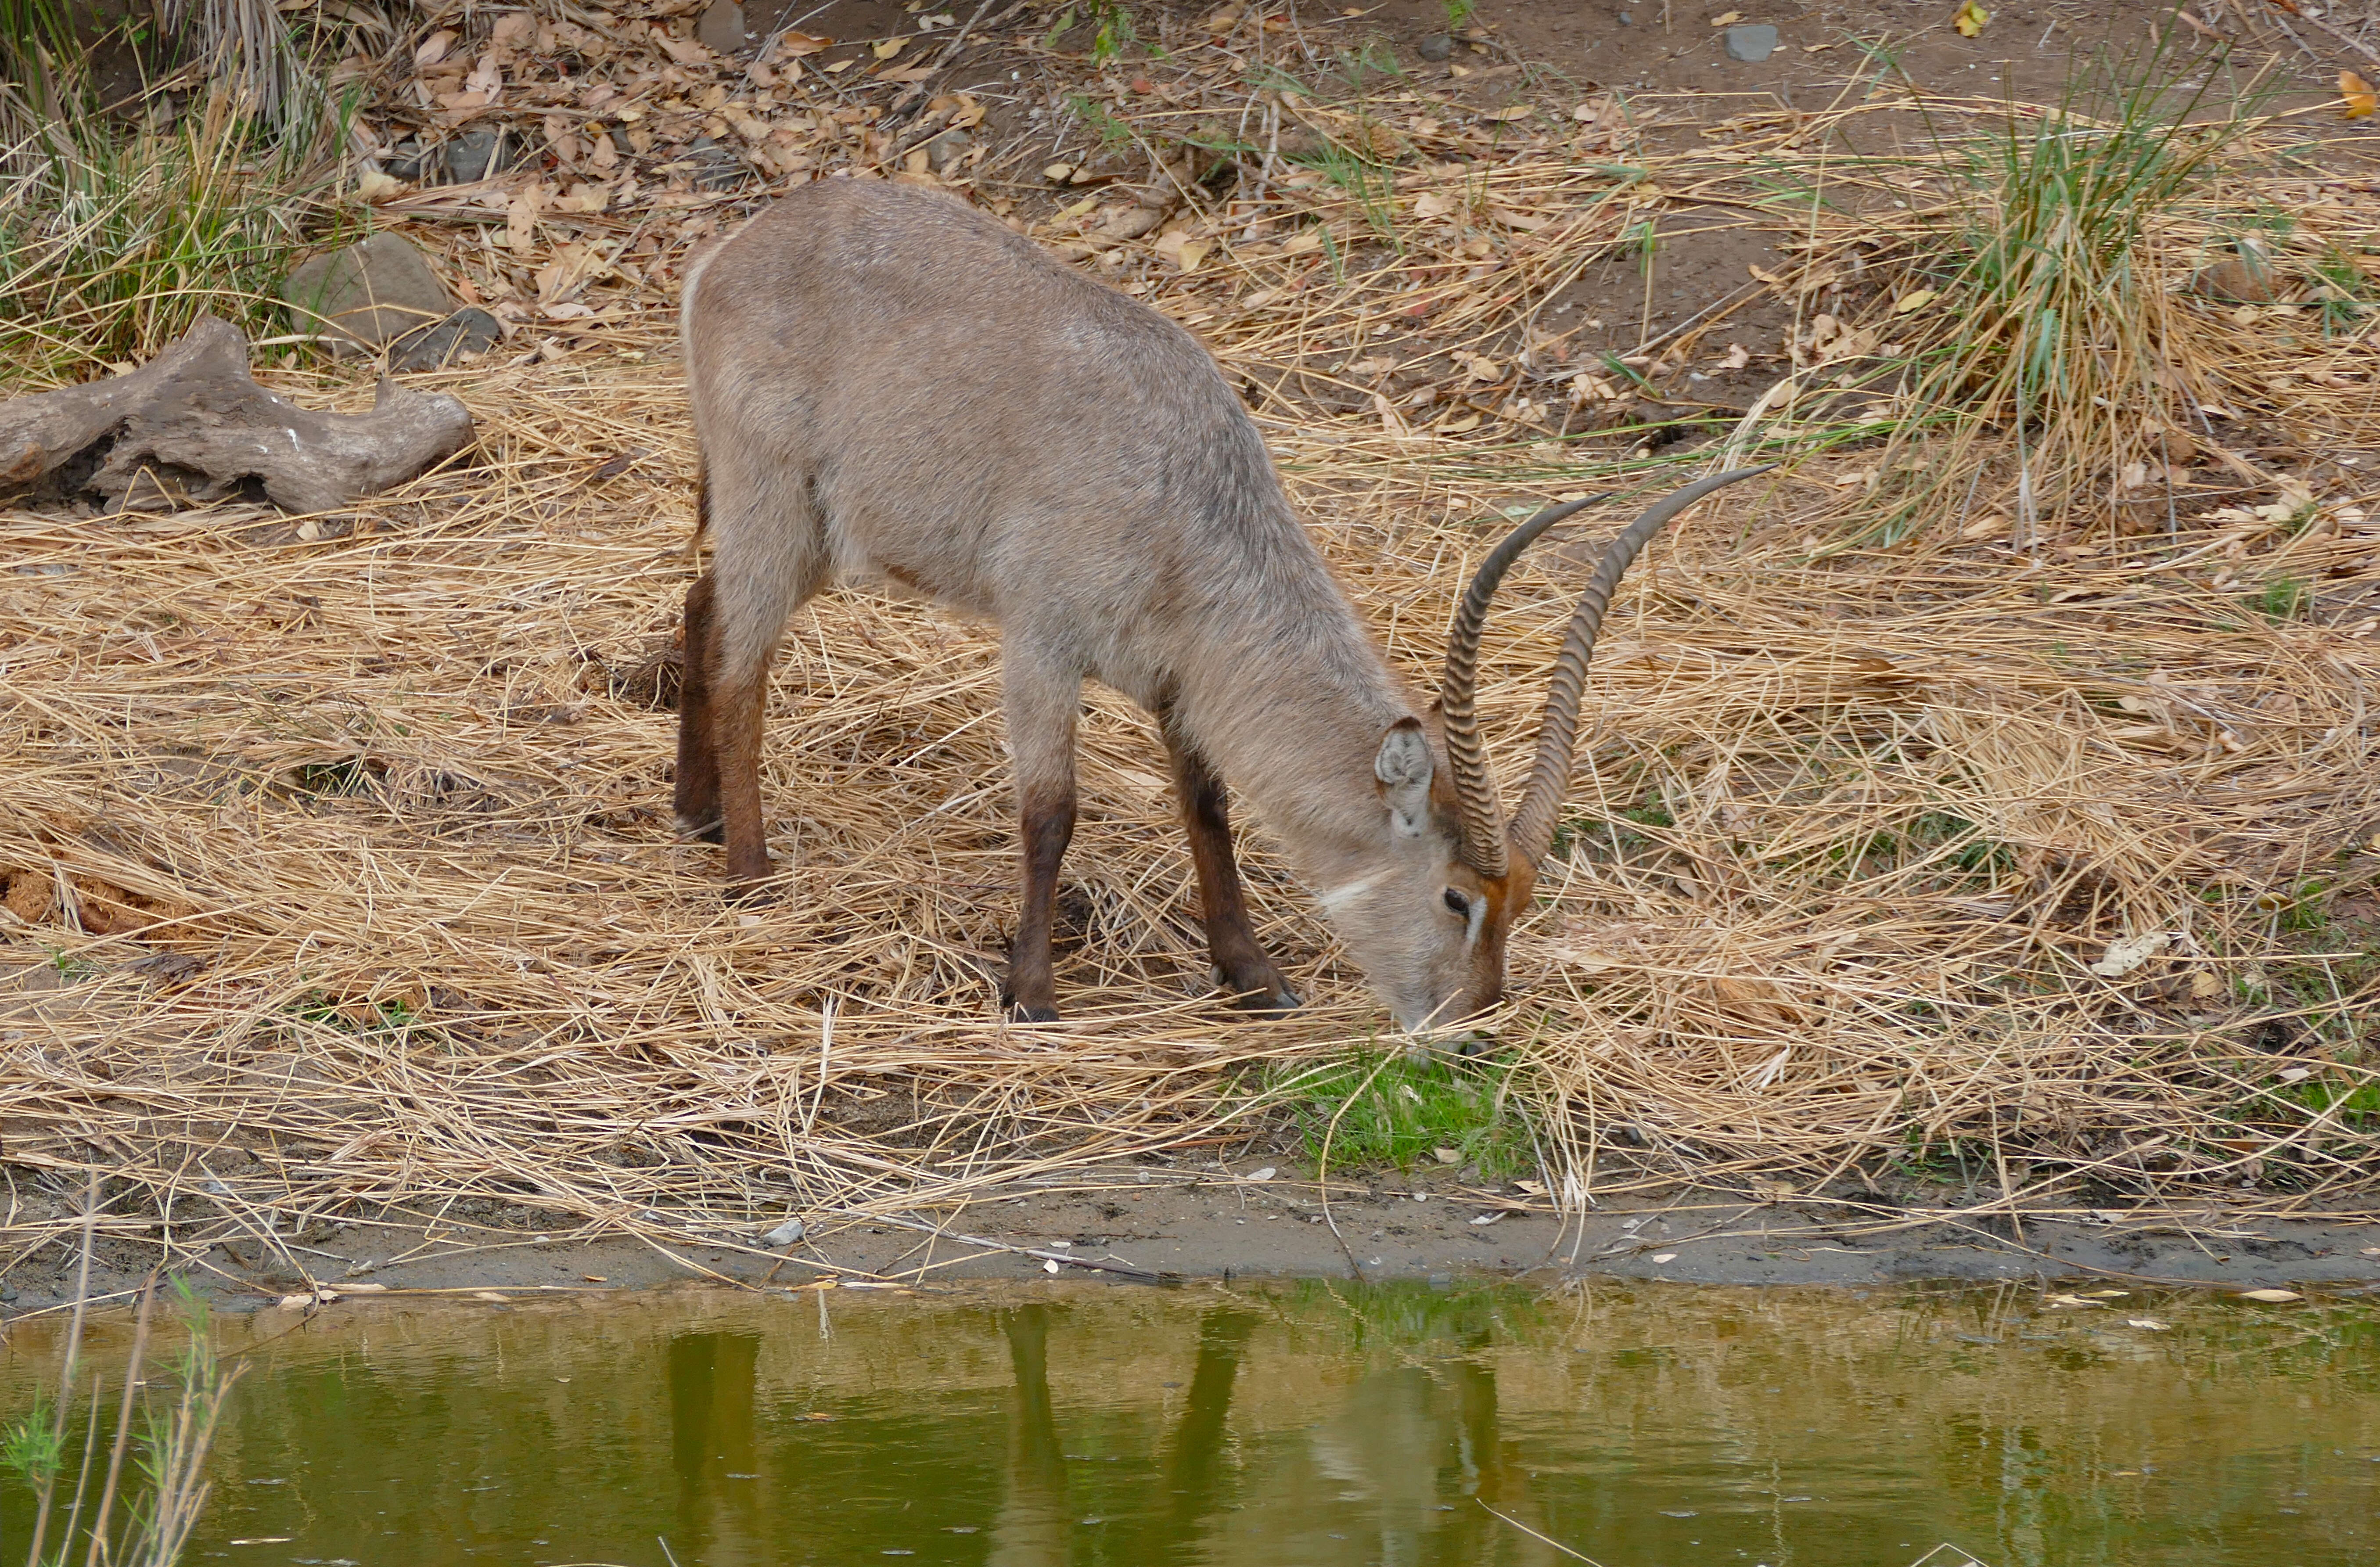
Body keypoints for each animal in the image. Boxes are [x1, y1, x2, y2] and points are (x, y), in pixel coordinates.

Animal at [671, 177, 1770, 1043]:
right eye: (1457, 895)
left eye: (1522, 903)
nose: (1472, 1026)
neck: (1182, 488)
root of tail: (737, 245)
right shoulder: (1041, 643)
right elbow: (1049, 814)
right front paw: (1031, 994)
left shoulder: (1177, 678)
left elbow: (1209, 809)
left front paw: (1251, 976)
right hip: (778, 504)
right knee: (744, 660)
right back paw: (750, 873)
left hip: (806, 532)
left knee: (700, 605)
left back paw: (695, 814)